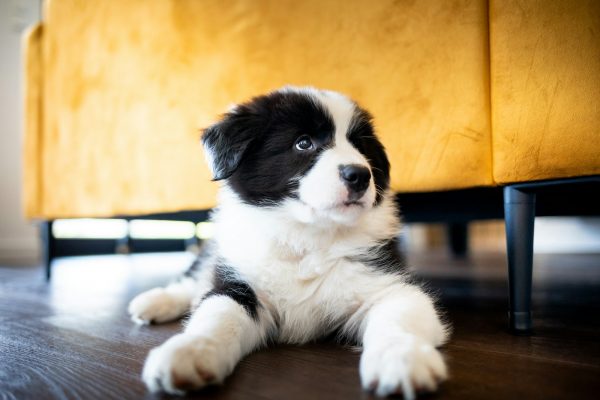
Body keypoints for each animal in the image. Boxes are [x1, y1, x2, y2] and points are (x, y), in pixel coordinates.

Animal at [129, 86, 448, 396]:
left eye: (360, 146)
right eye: (304, 143)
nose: (359, 175)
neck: (306, 236)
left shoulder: (391, 284)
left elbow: (399, 320)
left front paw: (403, 360)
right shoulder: (239, 285)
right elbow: (216, 315)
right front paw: (189, 352)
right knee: (194, 280)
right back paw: (153, 302)